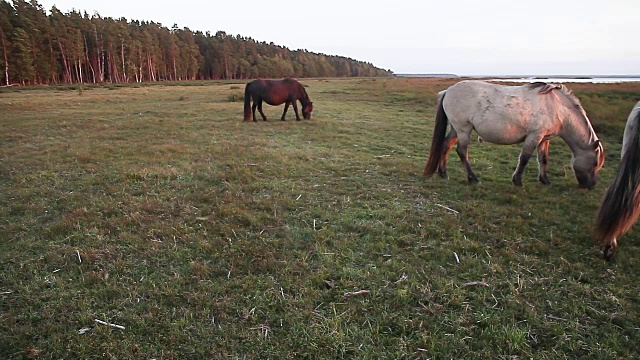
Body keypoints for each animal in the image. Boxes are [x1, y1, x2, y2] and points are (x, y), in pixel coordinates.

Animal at [424, 81, 604, 188]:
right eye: (595, 163)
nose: (591, 185)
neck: (557, 107)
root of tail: (448, 90)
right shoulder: (534, 136)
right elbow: (524, 158)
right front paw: (517, 180)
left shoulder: (543, 139)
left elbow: (543, 159)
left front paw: (545, 180)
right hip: (463, 129)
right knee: (461, 152)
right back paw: (472, 178)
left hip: (456, 129)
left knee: (446, 146)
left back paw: (443, 173)